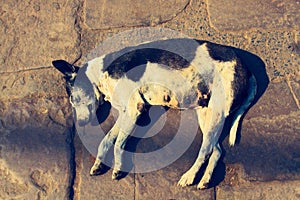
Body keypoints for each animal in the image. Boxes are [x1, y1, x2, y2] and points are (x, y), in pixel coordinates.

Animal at [52, 38, 256, 190]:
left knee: (205, 151)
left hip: (216, 112)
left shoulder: (134, 109)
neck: (101, 75)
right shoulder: (126, 113)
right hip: (206, 114)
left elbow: (118, 143)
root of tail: (247, 68)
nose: (82, 123)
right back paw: (204, 180)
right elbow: (107, 140)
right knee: (217, 150)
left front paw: (117, 168)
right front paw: (98, 164)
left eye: (74, 99)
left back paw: (189, 176)